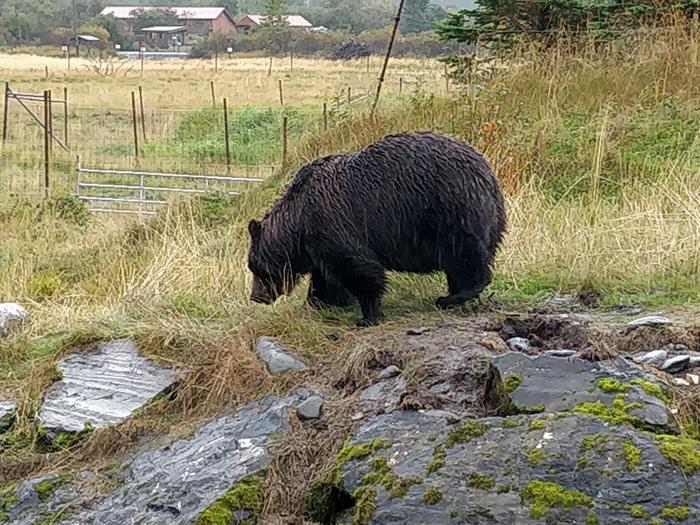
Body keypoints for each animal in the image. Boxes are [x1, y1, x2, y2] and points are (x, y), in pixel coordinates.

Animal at [249, 130, 506, 326]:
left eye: (256, 267)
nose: (255, 297)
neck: (298, 224)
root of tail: (487, 172)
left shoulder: (334, 225)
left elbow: (360, 271)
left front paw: (367, 315)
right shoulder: (320, 246)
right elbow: (326, 279)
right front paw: (319, 301)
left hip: (450, 209)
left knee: (465, 255)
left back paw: (452, 297)